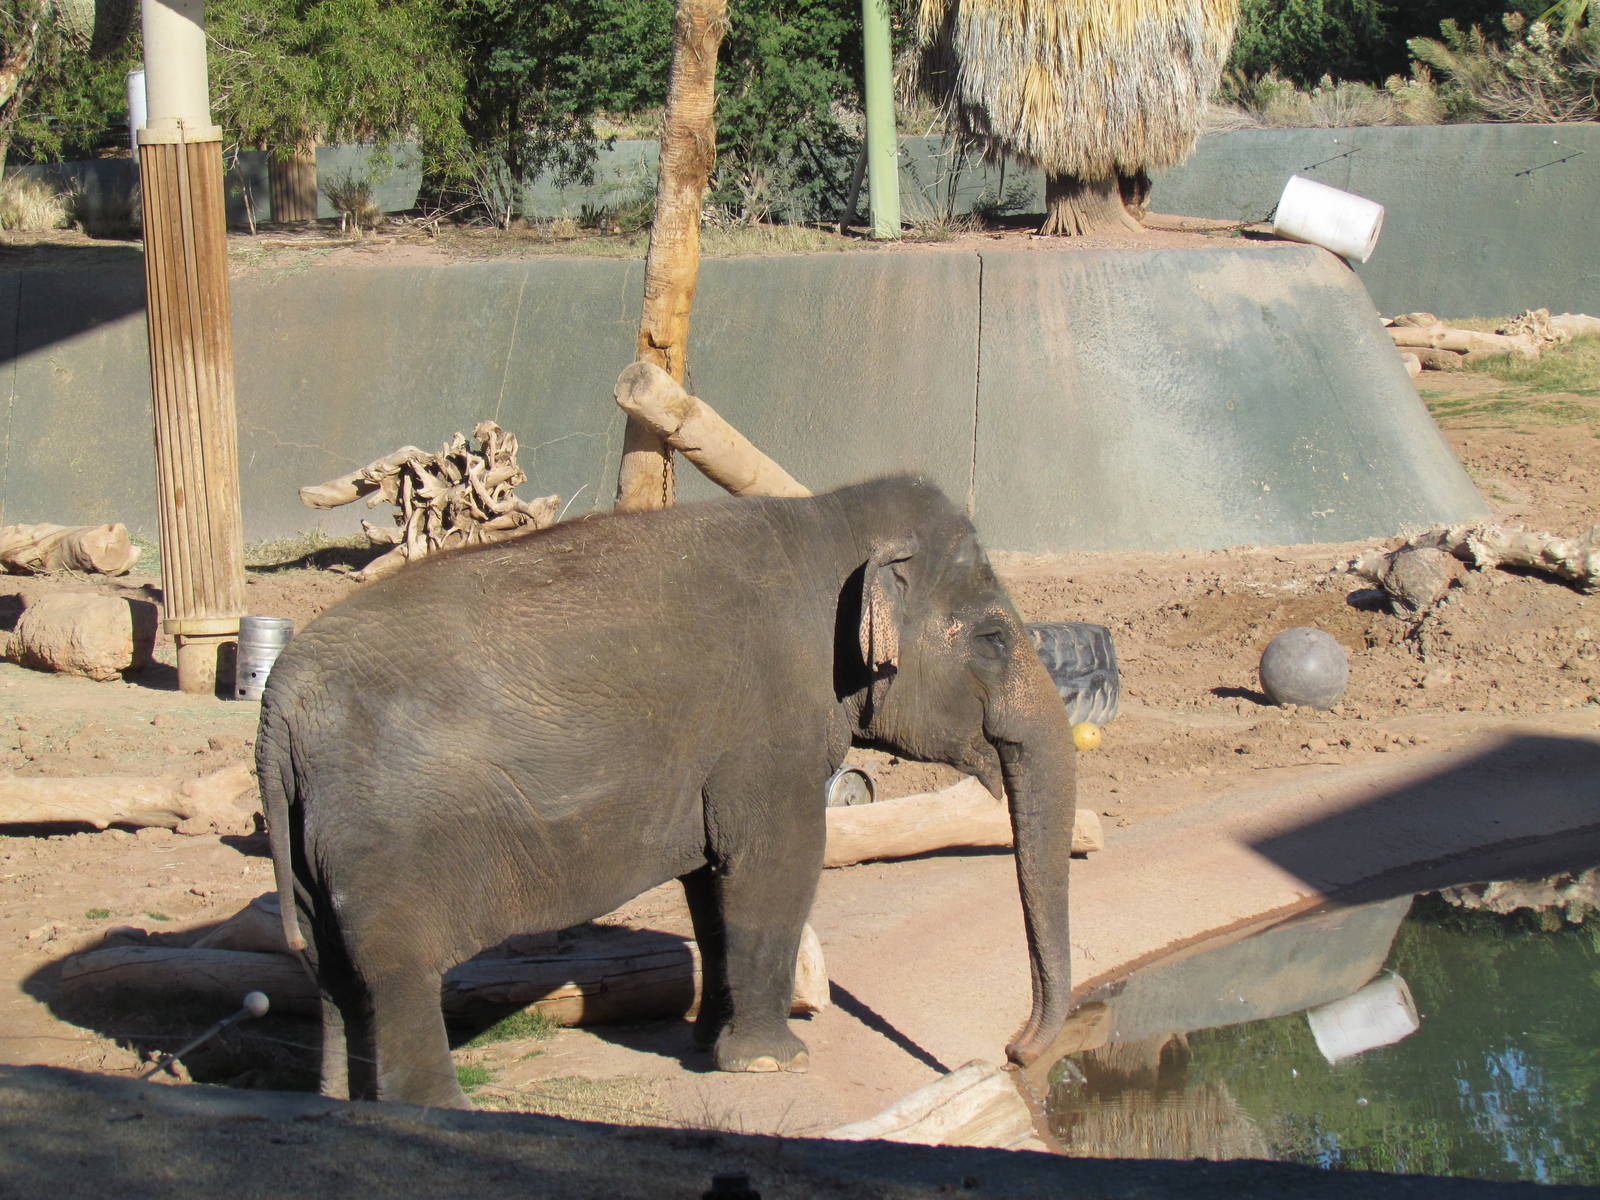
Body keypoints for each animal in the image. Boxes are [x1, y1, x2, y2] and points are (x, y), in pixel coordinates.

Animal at [259, 475, 1077, 1108]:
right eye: (995, 638)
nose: (1014, 1049)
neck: (824, 523)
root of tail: (279, 703)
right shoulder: (767, 725)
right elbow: (776, 864)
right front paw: (773, 1064)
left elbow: (710, 885)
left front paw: (711, 1044)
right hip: (384, 843)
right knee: (393, 973)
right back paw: (435, 1113)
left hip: (310, 842)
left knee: (333, 978)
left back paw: (338, 1105)